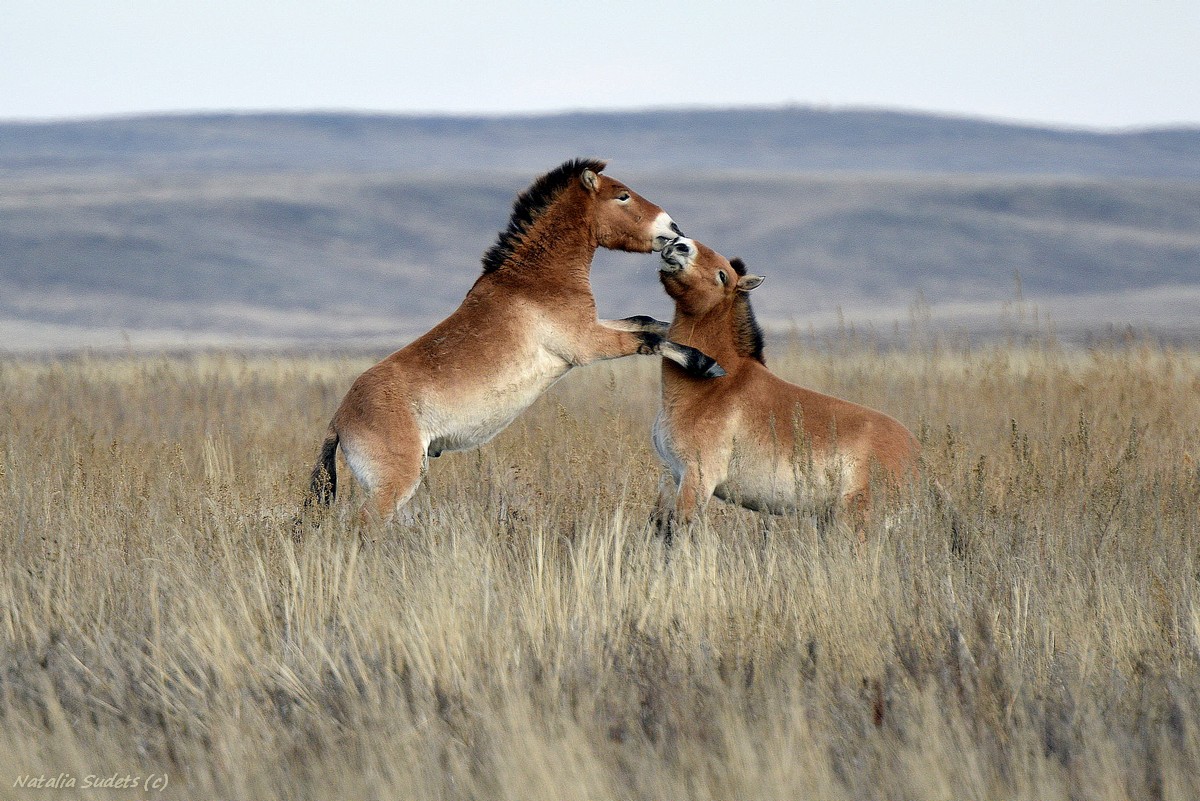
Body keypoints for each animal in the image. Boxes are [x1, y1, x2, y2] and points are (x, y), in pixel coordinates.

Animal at [307, 160, 720, 525]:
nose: (673, 229)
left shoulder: (592, 326)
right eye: (622, 196)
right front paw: (705, 363)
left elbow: (647, 322)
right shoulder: (586, 345)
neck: (534, 280)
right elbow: (648, 339)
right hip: (394, 485)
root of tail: (339, 418)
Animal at [652, 236, 912, 537]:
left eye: (722, 275)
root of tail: (916, 456)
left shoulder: (697, 478)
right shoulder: (671, 475)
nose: (679, 244)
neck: (714, 386)